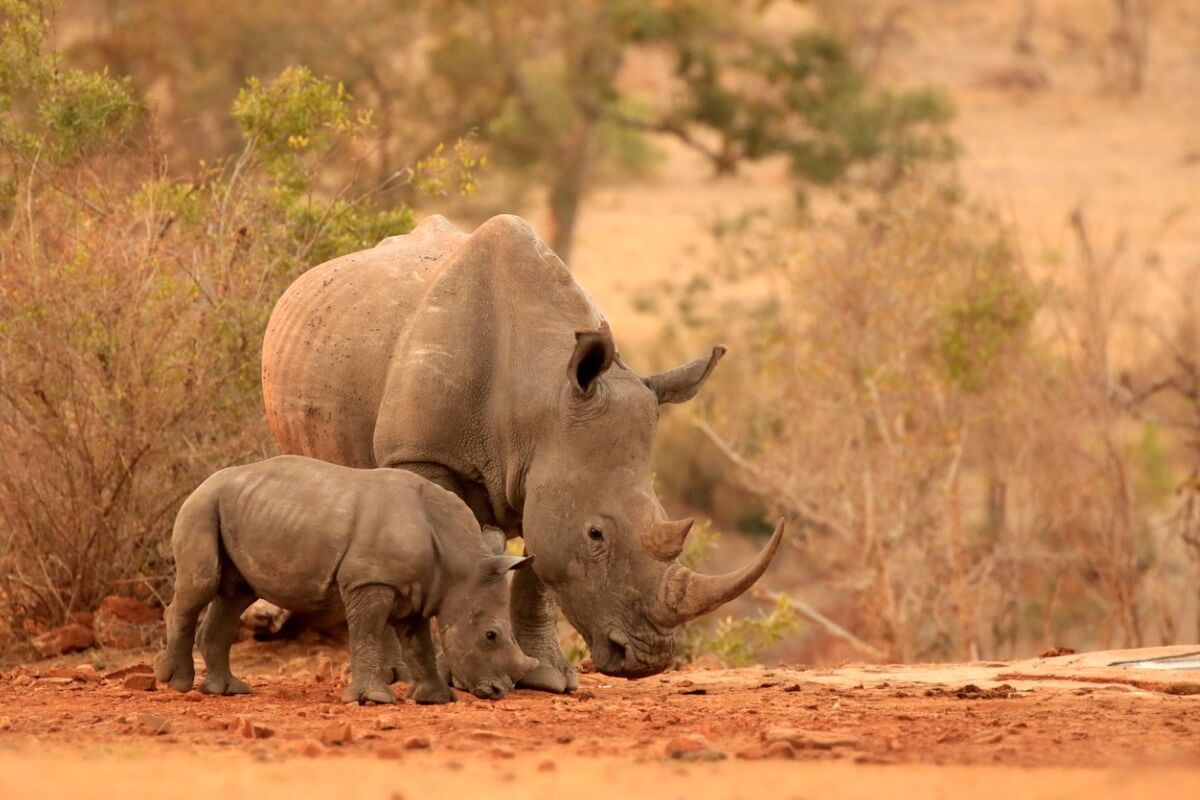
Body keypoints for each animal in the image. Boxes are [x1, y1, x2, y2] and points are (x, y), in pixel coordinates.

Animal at [156, 453, 540, 705]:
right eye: (490, 636)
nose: (500, 692)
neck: (459, 565)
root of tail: (202, 483)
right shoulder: (370, 581)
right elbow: (367, 633)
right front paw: (373, 700)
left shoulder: (417, 591)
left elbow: (419, 644)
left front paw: (435, 699)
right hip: (202, 506)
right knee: (202, 584)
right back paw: (176, 683)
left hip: (235, 509)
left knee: (236, 595)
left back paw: (228, 691)